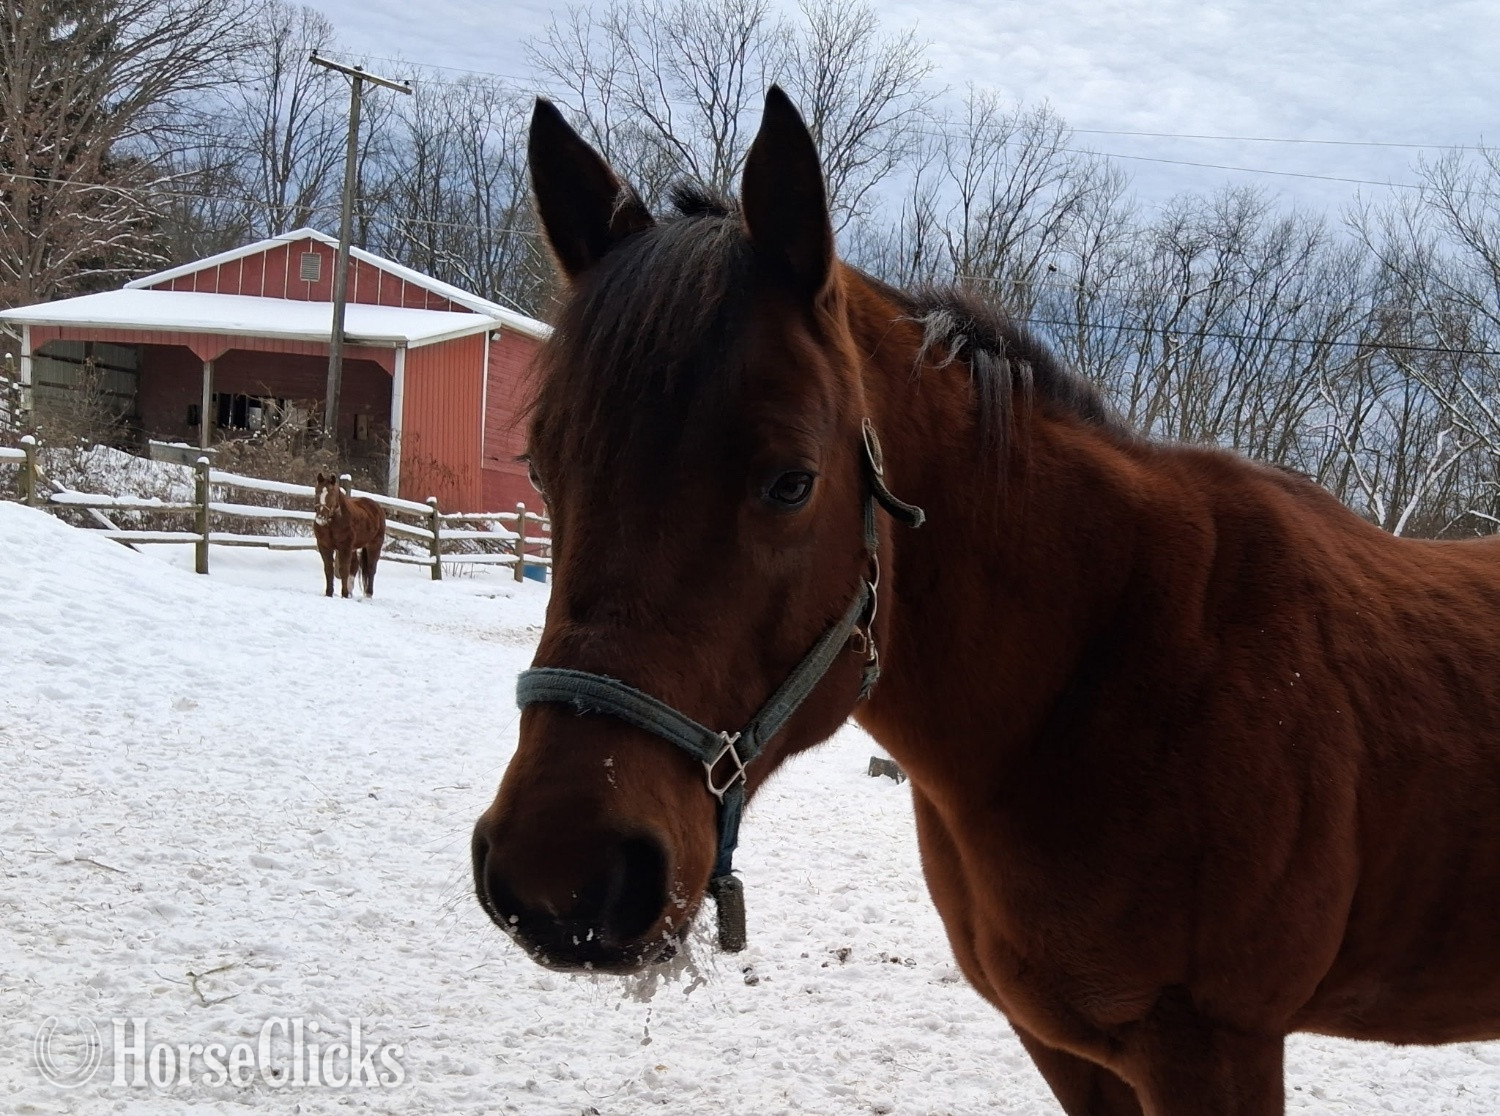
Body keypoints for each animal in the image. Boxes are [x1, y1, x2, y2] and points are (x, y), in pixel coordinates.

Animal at [470, 88, 1500, 1114]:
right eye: (543, 468)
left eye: (792, 482)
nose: (558, 877)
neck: (1106, 669)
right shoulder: (1068, 1047)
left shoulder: (1216, 1050)